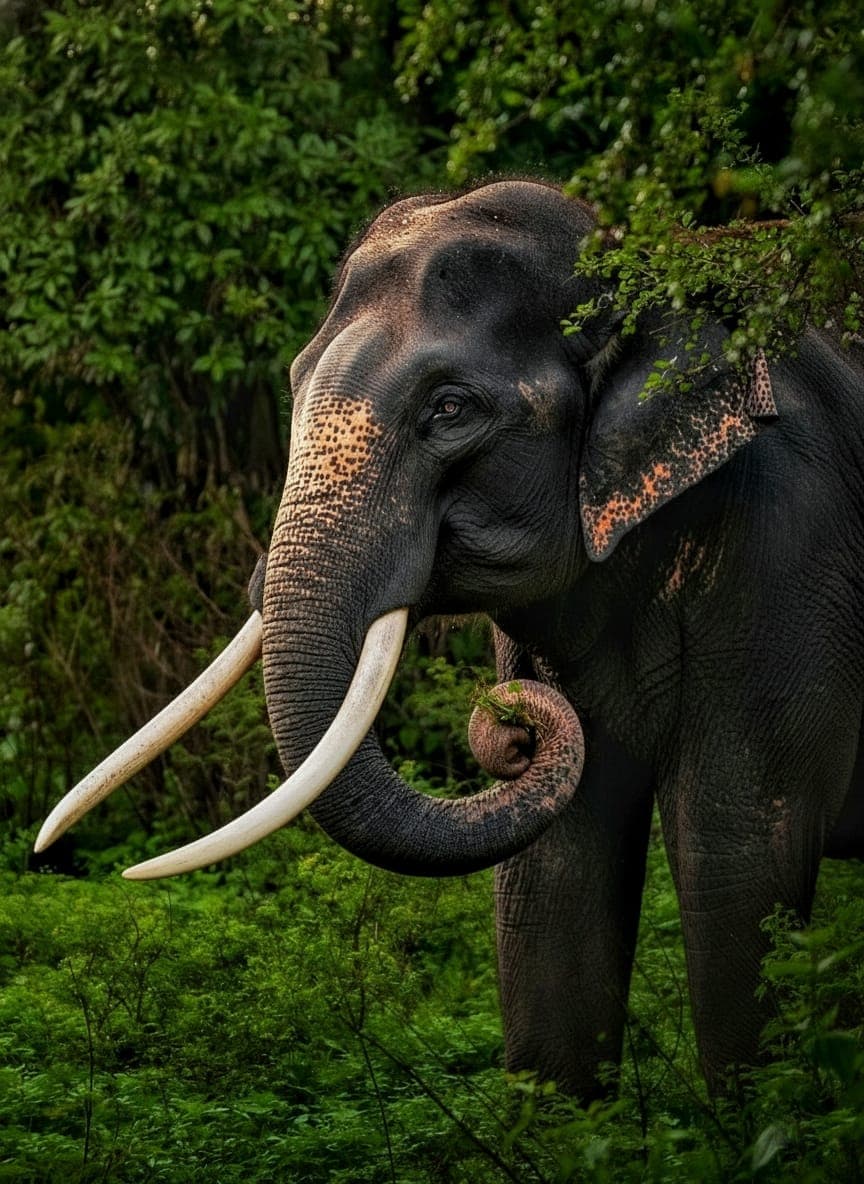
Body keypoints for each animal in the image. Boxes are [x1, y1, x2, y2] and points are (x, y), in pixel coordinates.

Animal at [37, 180, 864, 1100]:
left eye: (450, 409)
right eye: (293, 381)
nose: (513, 720)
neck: (647, 256)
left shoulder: (794, 538)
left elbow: (739, 857)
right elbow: (552, 880)